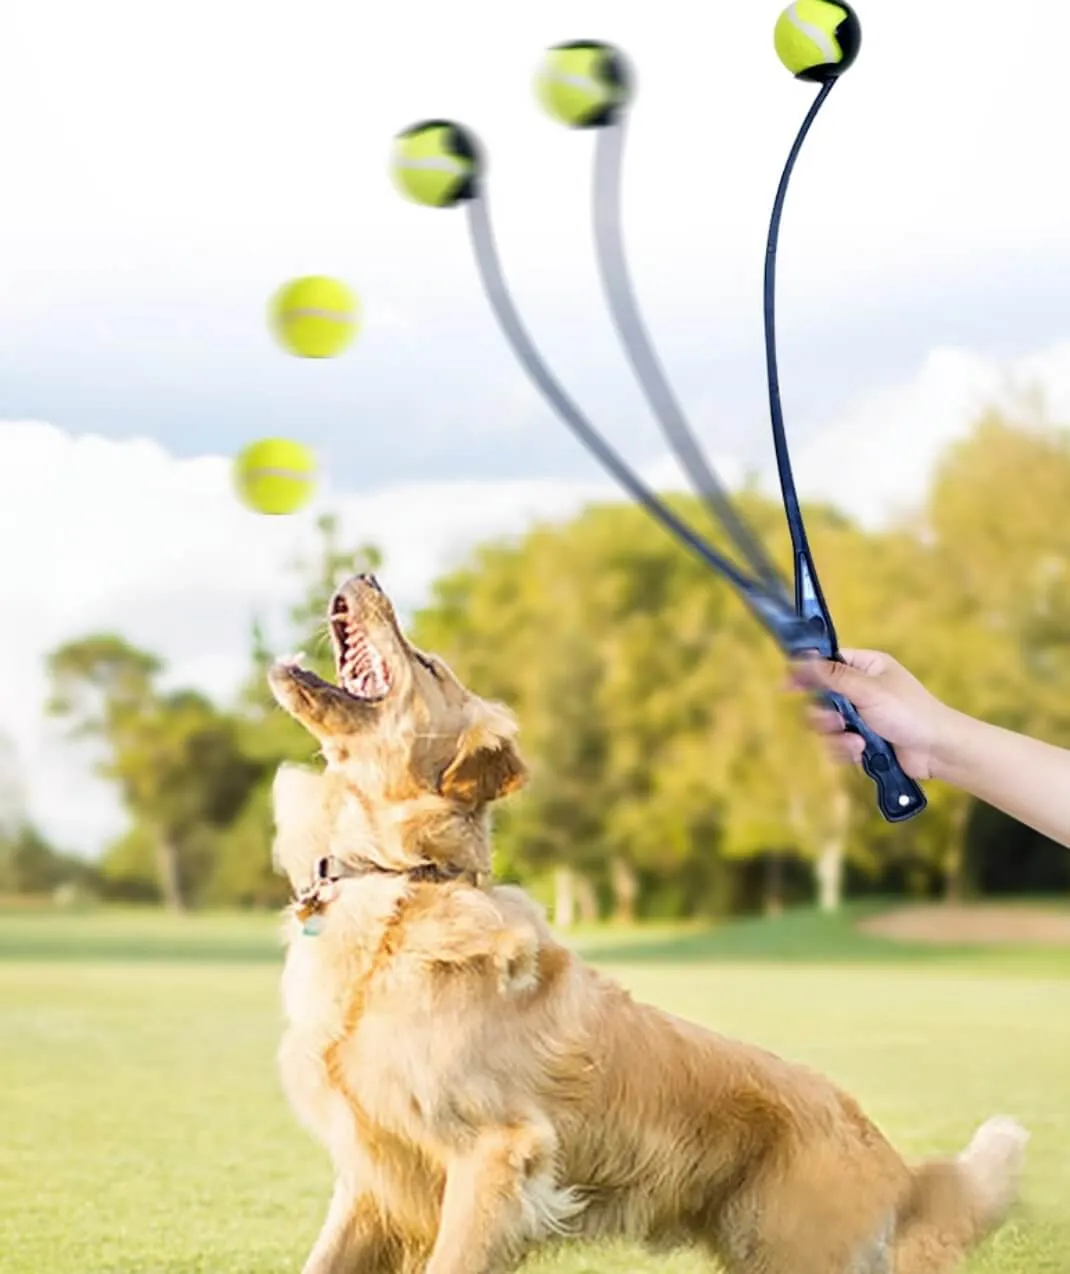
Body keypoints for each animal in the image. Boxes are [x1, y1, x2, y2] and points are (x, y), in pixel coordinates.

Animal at [267, 573, 1029, 1268]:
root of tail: (898, 1166)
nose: (366, 574)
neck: (399, 877)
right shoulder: (371, 1176)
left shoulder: (495, 1156)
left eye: (428, 665)